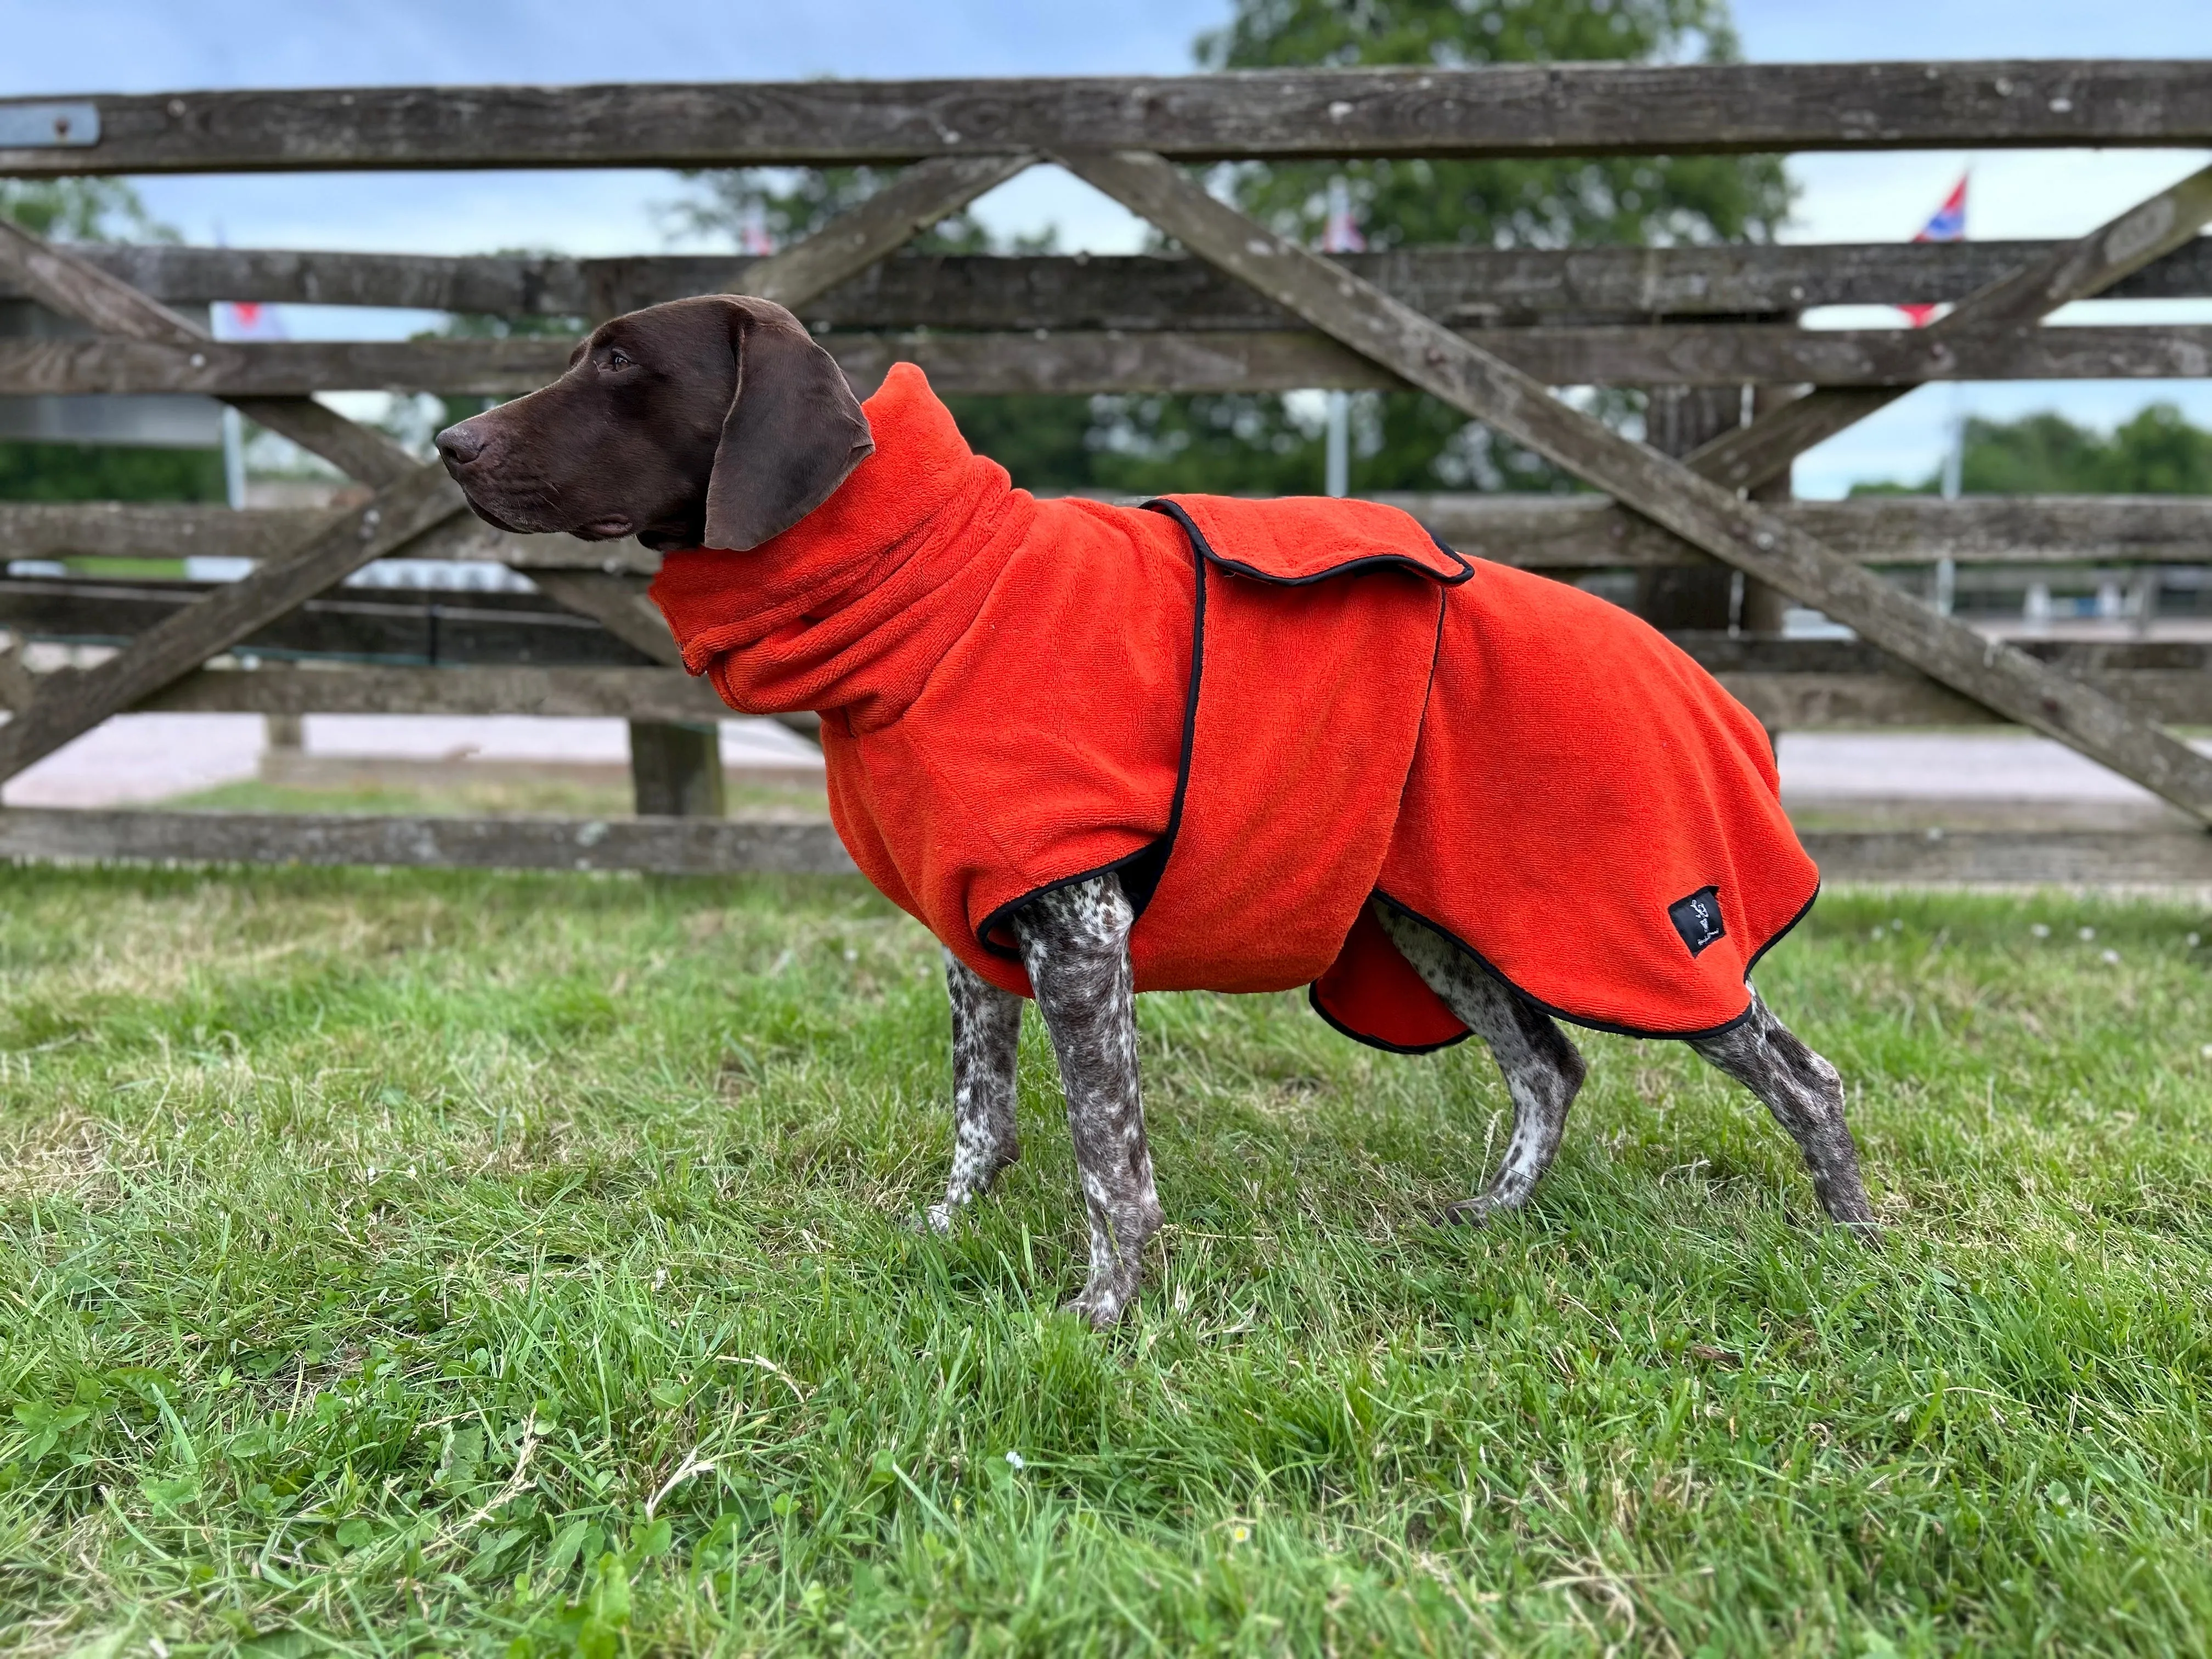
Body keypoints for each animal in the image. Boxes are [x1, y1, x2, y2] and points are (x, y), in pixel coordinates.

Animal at [440, 298, 1876, 1336]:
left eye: (619, 360)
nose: (452, 446)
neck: (930, 586)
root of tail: (1695, 675)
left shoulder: (1080, 940)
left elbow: (1108, 1161)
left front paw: (1106, 1311)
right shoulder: (980, 935)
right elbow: (985, 1123)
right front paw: (949, 1232)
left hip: (1635, 925)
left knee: (1803, 1077)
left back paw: (1856, 1245)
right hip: (1439, 923)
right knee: (1551, 1069)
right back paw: (1499, 1218)